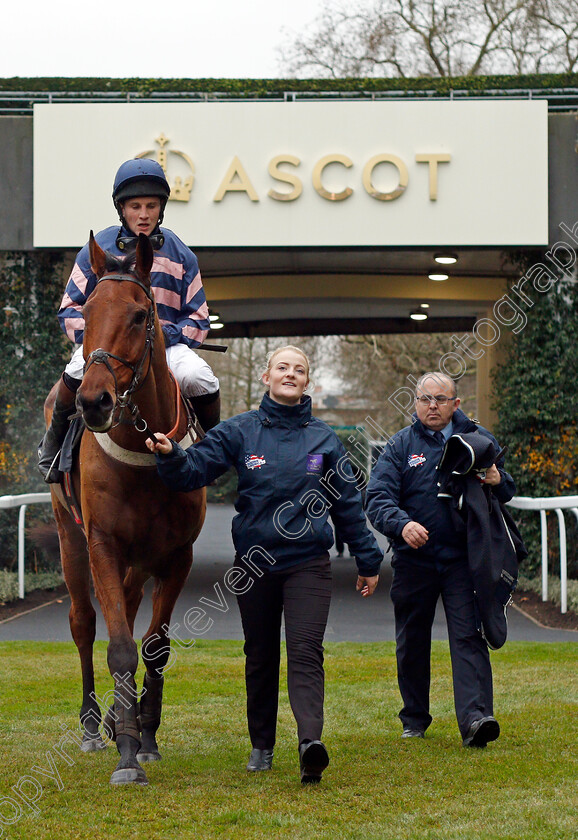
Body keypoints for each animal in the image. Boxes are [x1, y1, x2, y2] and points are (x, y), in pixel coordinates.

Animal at [46, 231, 206, 788]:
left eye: (140, 315)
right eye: (88, 310)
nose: (94, 401)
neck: (143, 452)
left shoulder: (178, 555)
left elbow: (153, 647)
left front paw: (146, 735)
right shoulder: (102, 545)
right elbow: (117, 644)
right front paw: (128, 754)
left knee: (132, 605)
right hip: (70, 538)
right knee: (81, 624)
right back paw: (95, 726)